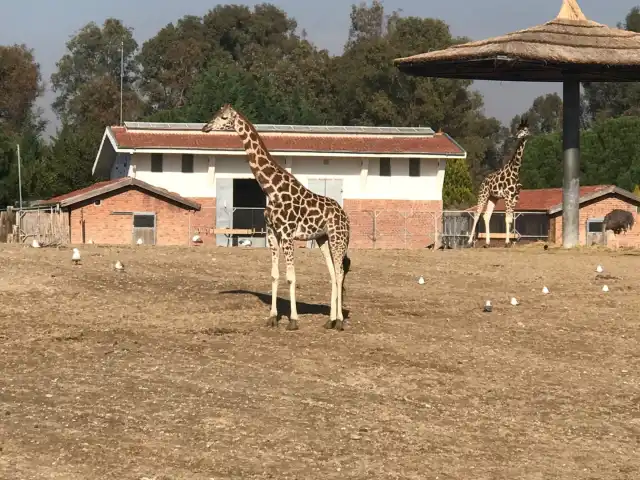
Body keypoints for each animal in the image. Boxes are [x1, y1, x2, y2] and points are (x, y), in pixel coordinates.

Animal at [202, 103, 352, 332]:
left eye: (224, 117)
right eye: (215, 114)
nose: (206, 127)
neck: (271, 189)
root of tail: (345, 217)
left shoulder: (287, 234)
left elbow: (291, 277)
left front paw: (293, 320)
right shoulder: (273, 233)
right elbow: (274, 274)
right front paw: (272, 317)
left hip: (338, 239)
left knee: (340, 272)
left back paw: (341, 321)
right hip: (323, 239)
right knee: (333, 274)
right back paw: (330, 320)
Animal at [468, 117, 532, 248]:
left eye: (525, 130)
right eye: (518, 129)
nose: (516, 136)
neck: (515, 170)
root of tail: (483, 181)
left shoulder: (515, 197)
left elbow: (510, 219)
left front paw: (511, 241)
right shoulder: (508, 196)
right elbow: (507, 218)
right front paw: (507, 242)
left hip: (493, 197)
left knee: (486, 215)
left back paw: (487, 242)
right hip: (483, 195)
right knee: (477, 214)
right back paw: (469, 241)